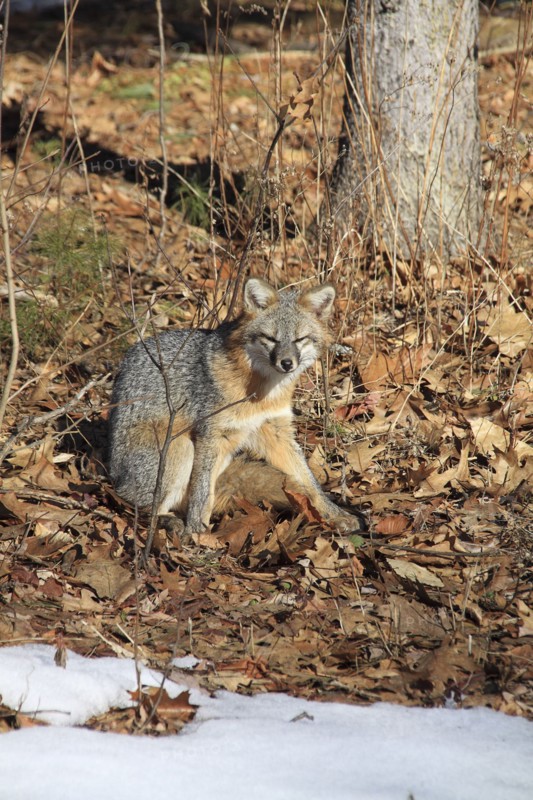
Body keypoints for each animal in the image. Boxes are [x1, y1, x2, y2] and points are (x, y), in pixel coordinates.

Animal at [108, 277, 361, 536]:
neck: (261, 393)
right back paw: (167, 521)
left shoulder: (275, 430)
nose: (287, 363)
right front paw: (197, 532)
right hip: (180, 448)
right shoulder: (211, 434)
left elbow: (309, 482)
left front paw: (334, 513)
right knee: (137, 504)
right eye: (271, 338)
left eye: (300, 339)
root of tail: (113, 473)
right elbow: (202, 494)